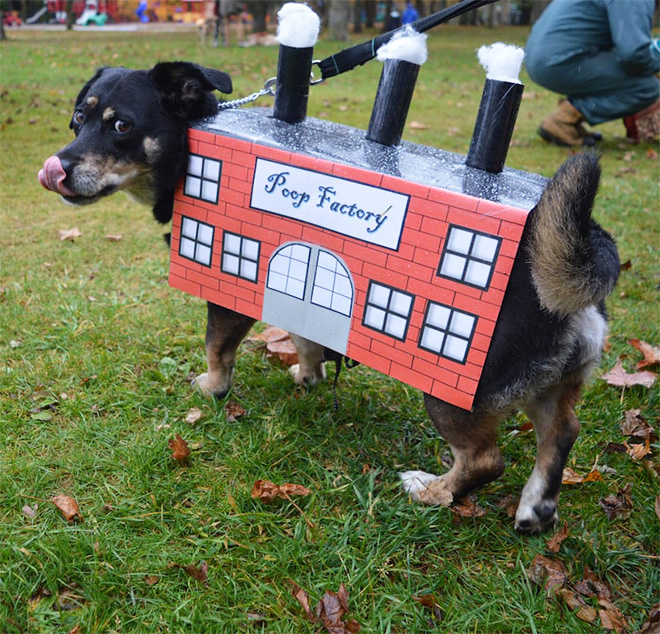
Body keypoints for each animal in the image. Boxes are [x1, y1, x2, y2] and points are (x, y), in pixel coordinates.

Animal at [40, 61, 620, 532]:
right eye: (77, 119)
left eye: (121, 125)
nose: (58, 167)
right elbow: (307, 334)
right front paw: (309, 374)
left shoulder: (229, 297)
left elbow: (217, 348)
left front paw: (212, 388)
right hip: (547, 389)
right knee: (561, 433)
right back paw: (534, 509)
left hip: (454, 394)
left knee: (484, 461)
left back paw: (432, 491)